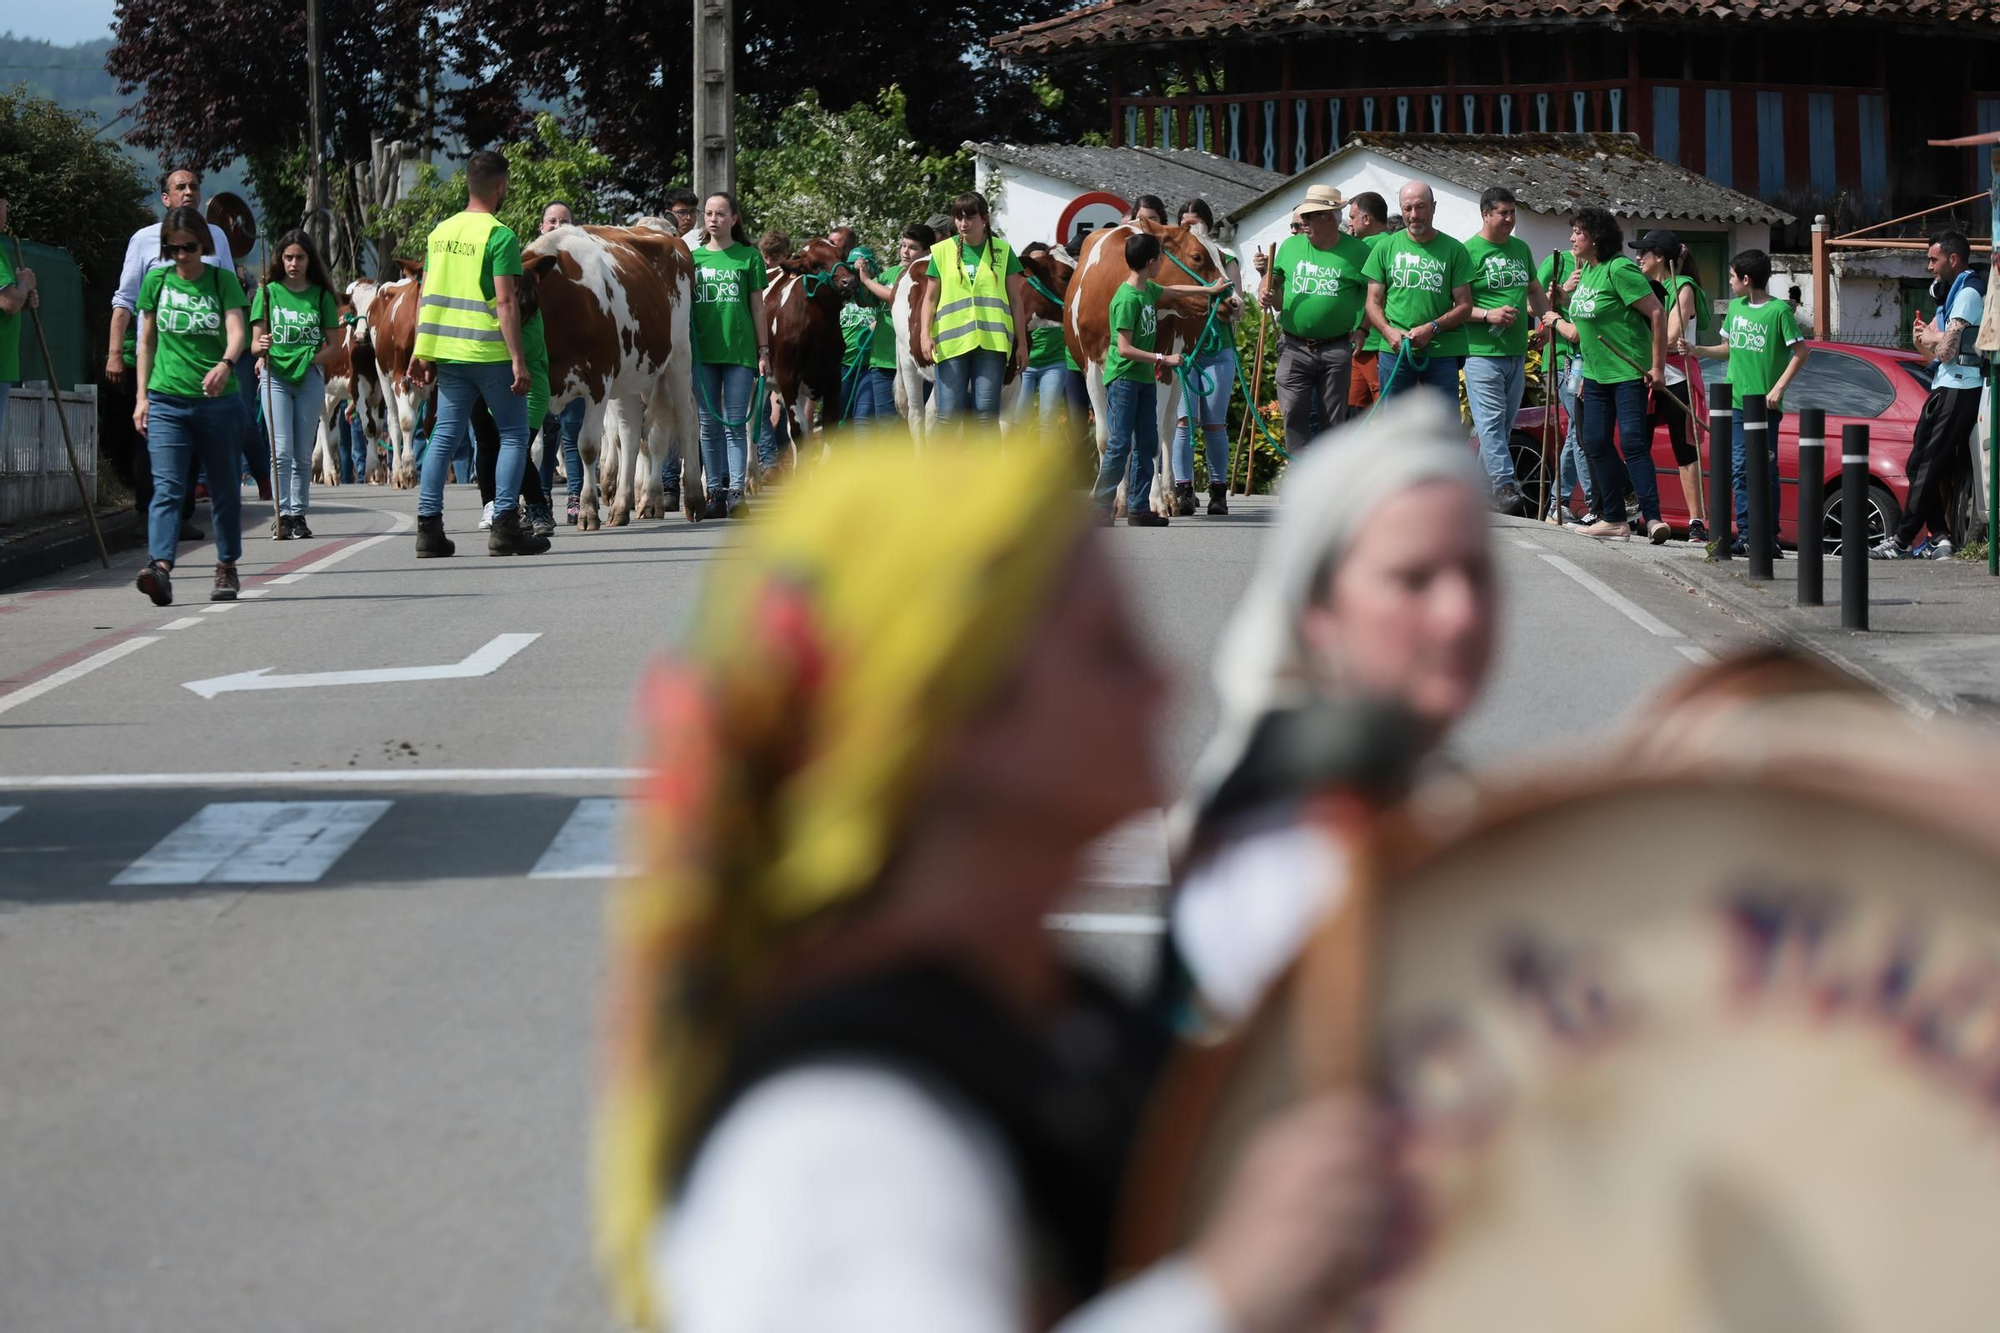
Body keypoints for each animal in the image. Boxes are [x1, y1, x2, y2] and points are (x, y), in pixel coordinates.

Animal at [524, 222, 704, 524]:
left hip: (678, 360)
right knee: (631, 434)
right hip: (630, 377)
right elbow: (528, 449)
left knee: (684, 422)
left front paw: (587, 510)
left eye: (524, 300)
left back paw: (692, 501)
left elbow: (587, 446)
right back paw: (625, 505)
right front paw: (525, 514)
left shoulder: (598, 382)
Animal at [1064, 218, 1232, 512]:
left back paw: (1171, 495)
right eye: (1197, 257)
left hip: (1180, 370)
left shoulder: (1162, 368)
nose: (1235, 301)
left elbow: (1151, 438)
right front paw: (1108, 497)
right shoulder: (1092, 368)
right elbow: (1108, 439)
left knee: (1167, 428)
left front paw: (1155, 501)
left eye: (1223, 257)